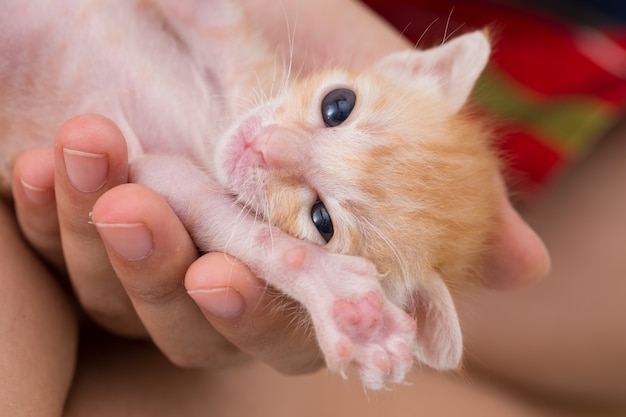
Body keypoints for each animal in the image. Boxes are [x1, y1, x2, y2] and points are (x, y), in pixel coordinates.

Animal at [1, 0, 498, 390]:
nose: (264, 146)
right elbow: (210, 13)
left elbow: (214, 210)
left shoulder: (151, 167)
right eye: (338, 105)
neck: (218, 123)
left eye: (322, 220)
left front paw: (337, 298)